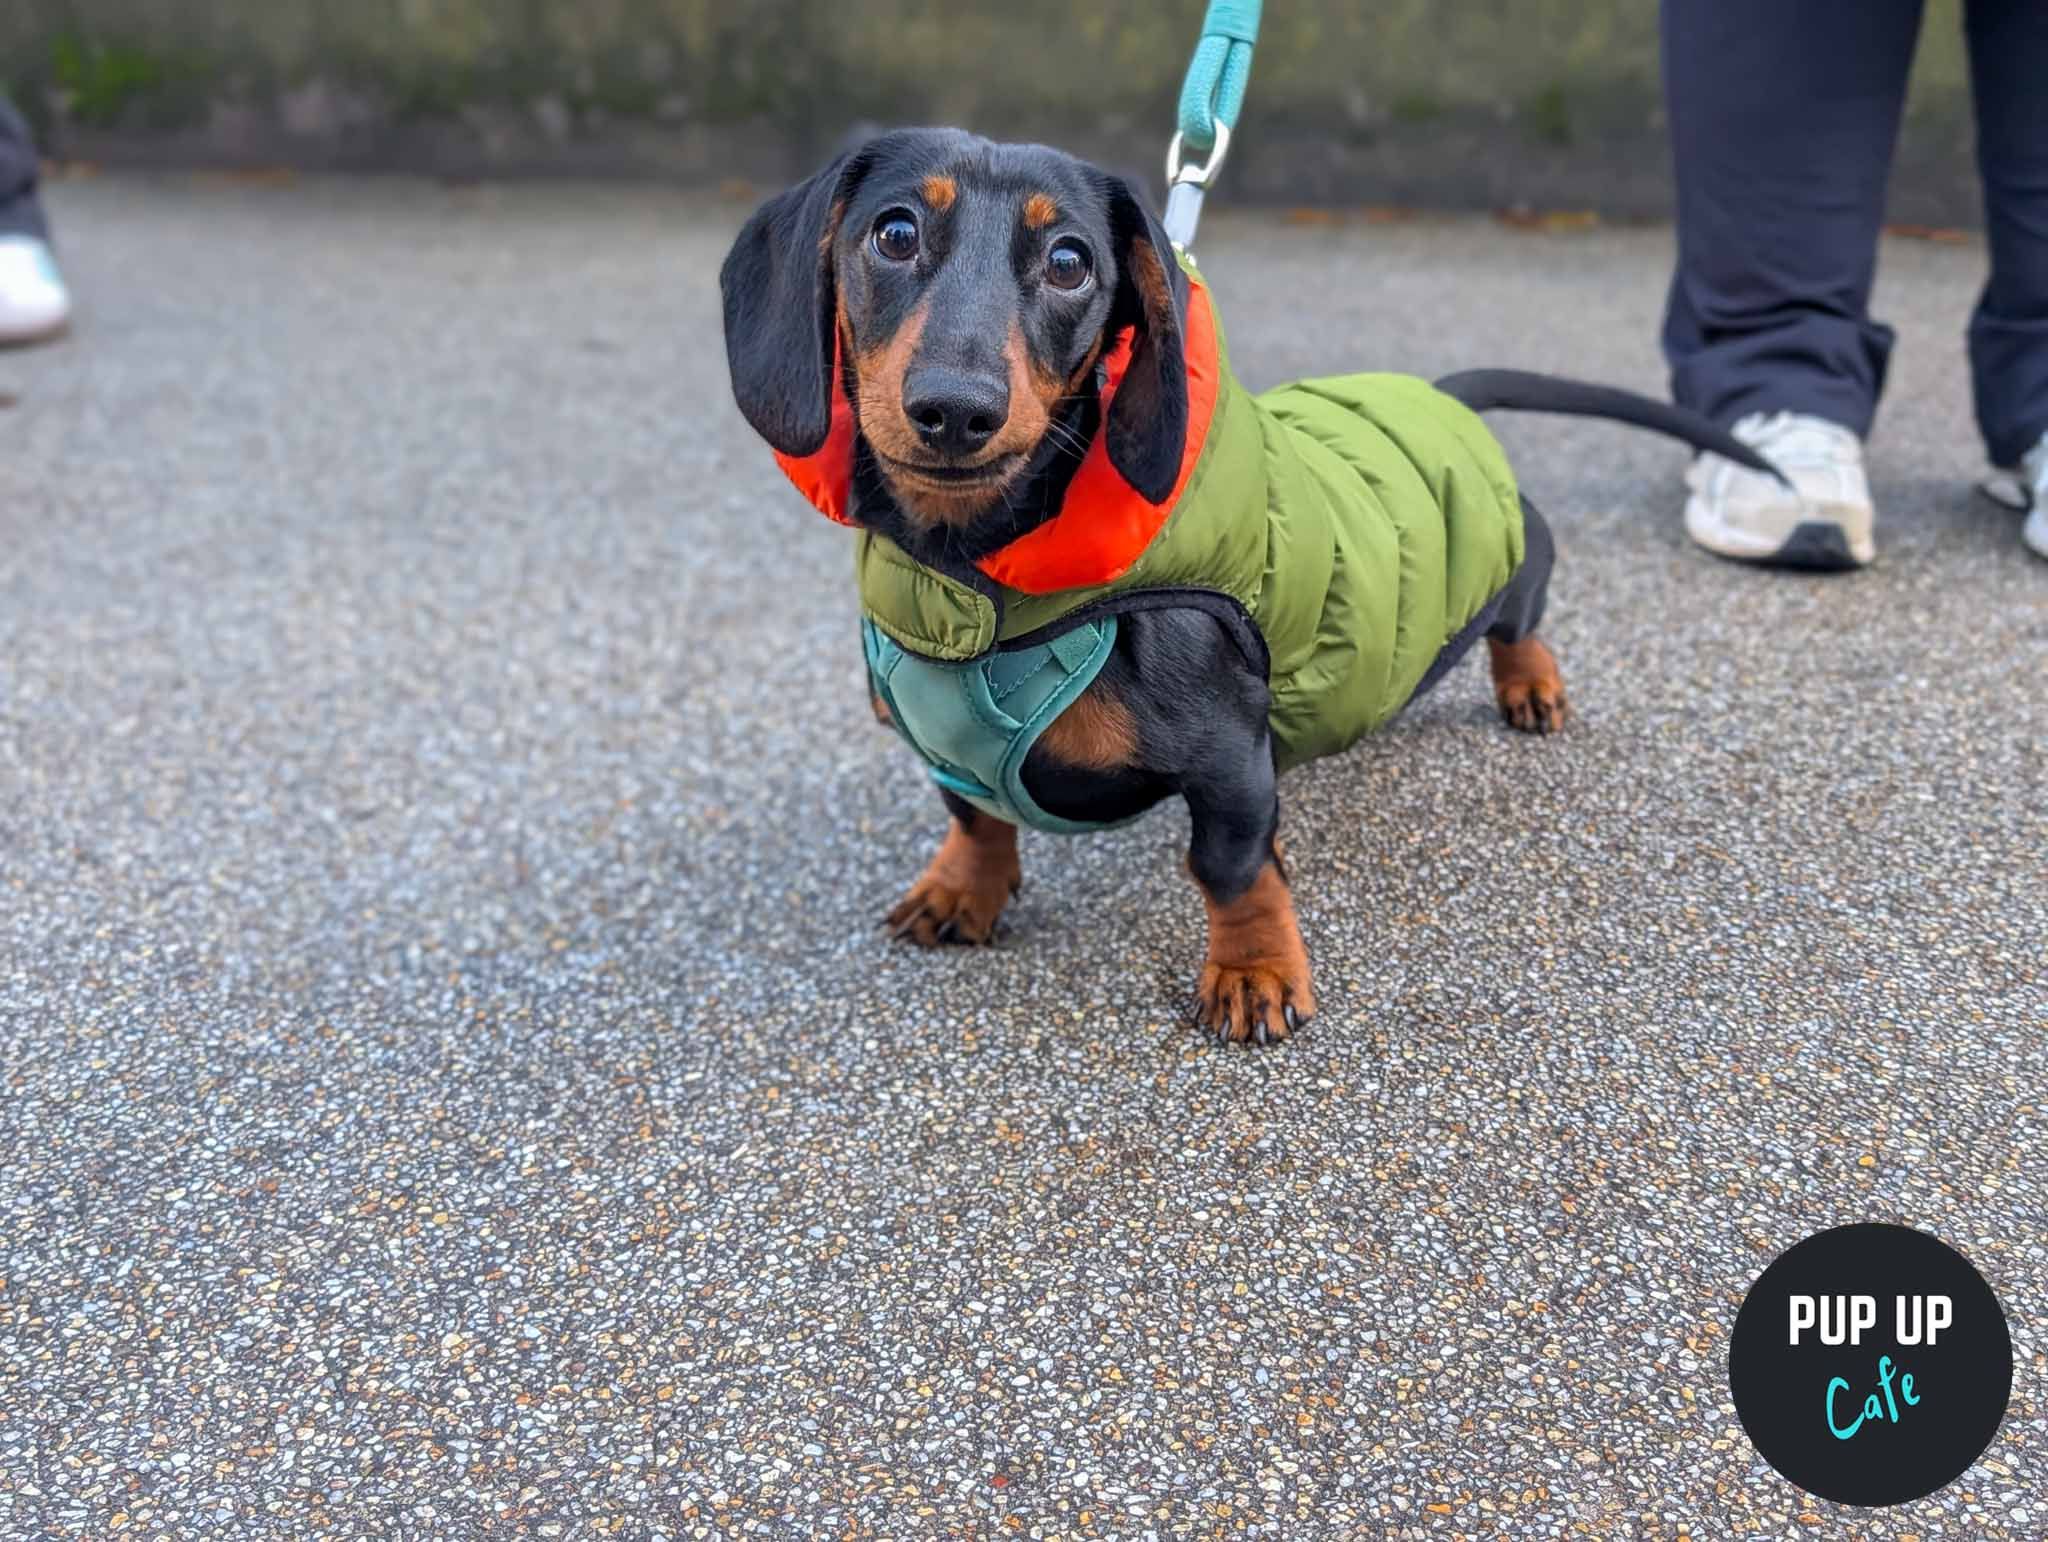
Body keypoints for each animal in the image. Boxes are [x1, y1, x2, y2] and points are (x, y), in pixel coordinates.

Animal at [720, 128, 1783, 1046]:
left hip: (1516, 567)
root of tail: (1443, 397)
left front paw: (1253, 971)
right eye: (894, 232)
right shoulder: (946, 747)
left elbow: (1229, 869)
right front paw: (962, 890)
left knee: (1520, 623)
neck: (971, 578)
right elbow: (975, 816)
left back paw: (1532, 685)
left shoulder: (1229, 757)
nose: (954, 410)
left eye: (1069, 261)